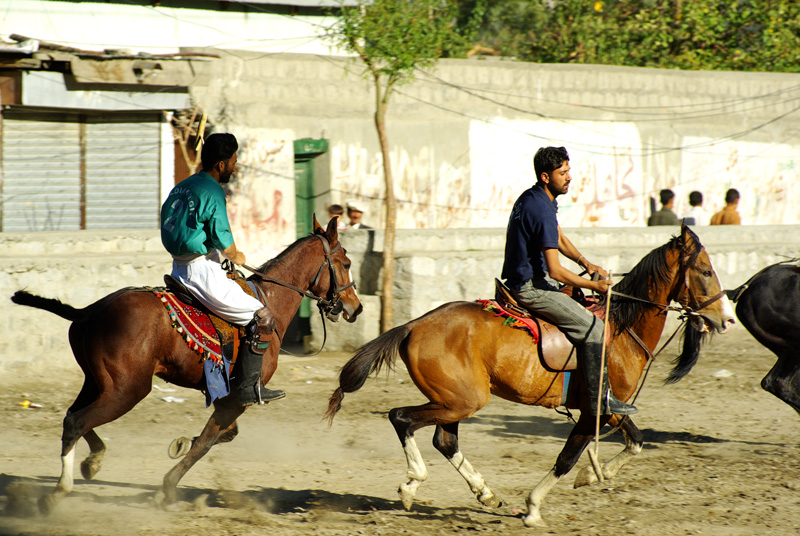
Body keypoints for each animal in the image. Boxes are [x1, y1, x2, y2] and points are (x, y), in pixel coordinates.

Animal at [10, 216, 360, 512]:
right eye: (346, 263)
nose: (354, 307)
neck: (269, 298)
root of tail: (90, 311)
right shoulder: (239, 398)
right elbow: (206, 442)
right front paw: (167, 488)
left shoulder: (227, 395)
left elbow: (222, 435)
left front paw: (181, 446)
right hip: (127, 390)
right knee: (77, 421)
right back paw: (61, 489)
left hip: (97, 383)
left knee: (73, 418)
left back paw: (91, 462)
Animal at [324, 223, 732, 528]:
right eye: (705, 271)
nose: (726, 318)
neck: (620, 331)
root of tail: (413, 325)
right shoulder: (594, 410)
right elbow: (567, 458)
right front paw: (534, 507)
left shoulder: (611, 410)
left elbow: (637, 440)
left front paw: (594, 475)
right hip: (463, 400)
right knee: (402, 418)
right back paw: (413, 484)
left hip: (453, 401)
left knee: (444, 440)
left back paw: (484, 492)